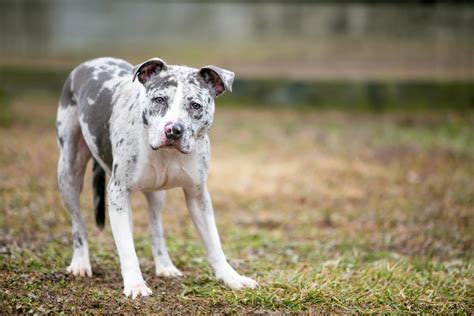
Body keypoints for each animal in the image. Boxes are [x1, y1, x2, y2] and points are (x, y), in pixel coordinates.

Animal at [57, 57, 258, 298]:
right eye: (159, 99)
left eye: (196, 105)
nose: (174, 130)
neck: (167, 153)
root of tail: (92, 61)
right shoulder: (118, 192)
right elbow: (127, 248)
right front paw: (135, 284)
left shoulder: (198, 196)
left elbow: (214, 242)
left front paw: (231, 278)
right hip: (69, 172)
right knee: (78, 223)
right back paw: (80, 262)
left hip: (154, 195)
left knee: (155, 228)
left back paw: (164, 265)